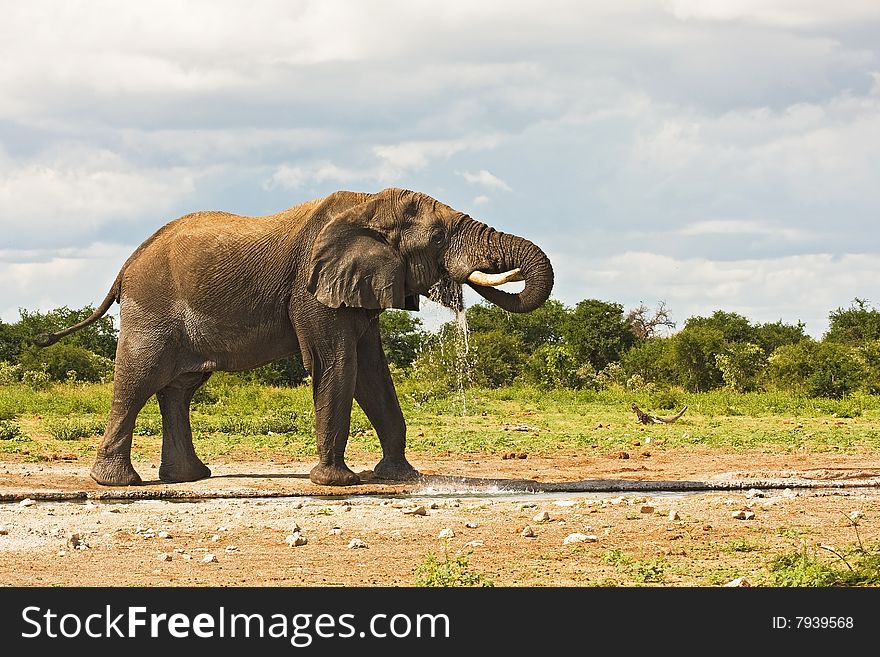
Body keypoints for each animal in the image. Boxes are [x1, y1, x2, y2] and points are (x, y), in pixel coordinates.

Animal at [39, 187, 556, 484]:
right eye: (439, 238)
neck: (366, 205)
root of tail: (125, 266)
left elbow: (373, 374)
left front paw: (400, 477)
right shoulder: (311, 290)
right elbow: (337, 365)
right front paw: (336, 483)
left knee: (180, 388)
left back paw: (189, 479)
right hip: (152, 305)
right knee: (139, 378)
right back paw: (119, 486)